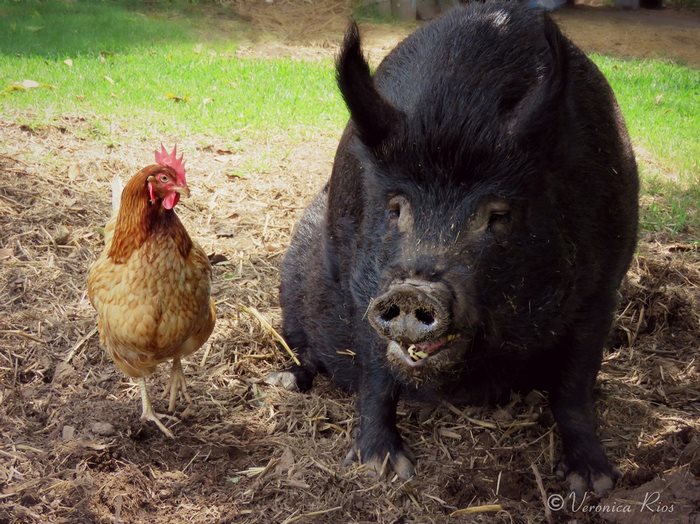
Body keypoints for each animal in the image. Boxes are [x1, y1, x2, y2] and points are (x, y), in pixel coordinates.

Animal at [272, 2, 639, 496]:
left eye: (498, 214)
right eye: (396, 207)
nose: (413, 291)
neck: (458, 113)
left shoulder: (603, 284)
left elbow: (576, 383)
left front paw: (594, 483)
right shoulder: (359, 281)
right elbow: (375, 371)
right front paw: (382, 469)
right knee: (305, 350)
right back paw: (283, 382)